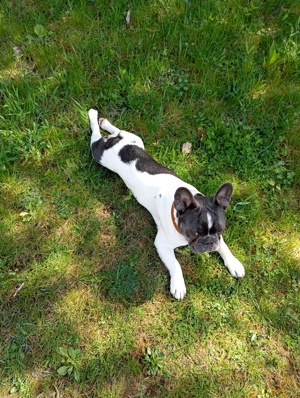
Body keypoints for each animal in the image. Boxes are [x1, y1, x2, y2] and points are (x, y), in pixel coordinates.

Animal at [88, 108, 245, 298]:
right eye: (195, 232)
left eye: (220, 230)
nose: (209, 242)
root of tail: (117, 144)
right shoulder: (161, 244)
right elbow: (175, 264)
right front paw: (178, 285)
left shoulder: (219, 238)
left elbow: (224, 246)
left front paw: (233, 263)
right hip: (99, 155)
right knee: (95, 137)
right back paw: (93, 116)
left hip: (136, 140)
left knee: (119, 131)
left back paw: (105, 123)